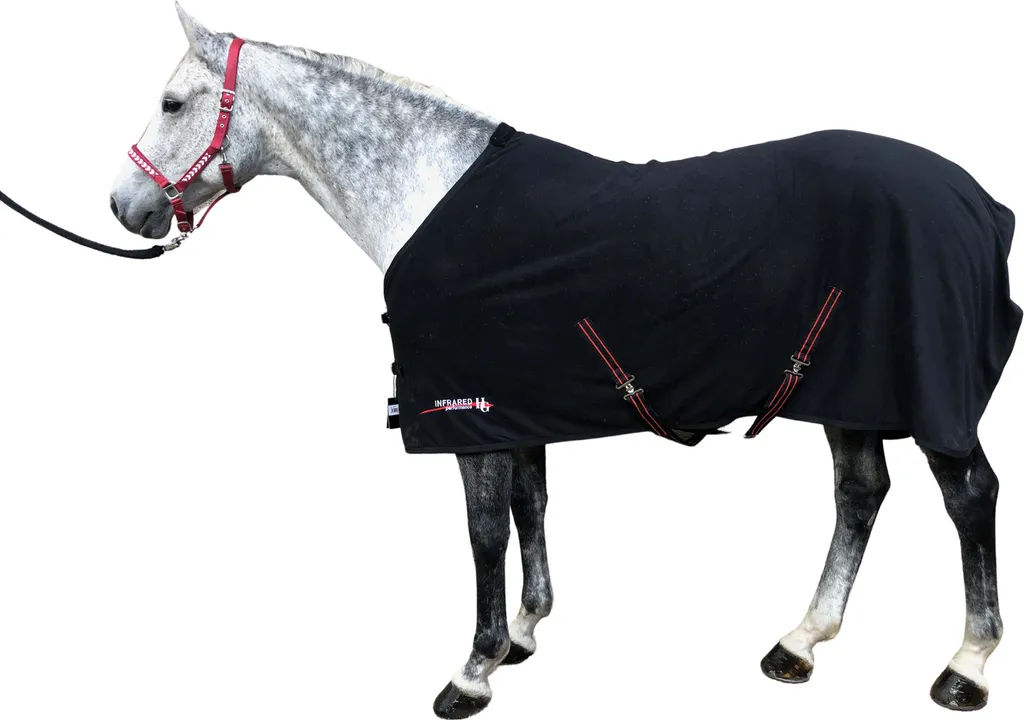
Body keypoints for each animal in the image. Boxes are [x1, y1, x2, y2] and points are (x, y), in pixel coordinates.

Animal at [107, 5, 1019, 717]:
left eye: (173, 101)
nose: (123, 205)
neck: (430, 190)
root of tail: (977, 201)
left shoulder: (466, 410)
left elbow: (482, 531)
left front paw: (471, 672)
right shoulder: (517, 405)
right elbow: (530, 507)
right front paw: (523, 633)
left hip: (922, 398)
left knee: (969, 496)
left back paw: (965, 667)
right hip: (845, 391)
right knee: (860, 493)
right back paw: (800, 642)